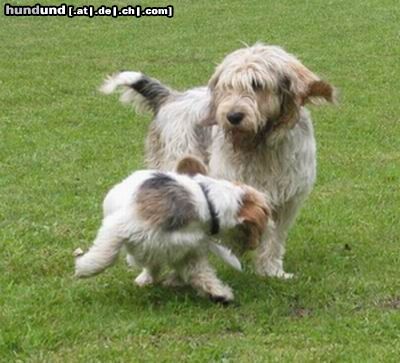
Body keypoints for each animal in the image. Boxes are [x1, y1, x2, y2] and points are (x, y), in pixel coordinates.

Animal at [74, 158, 268, 302]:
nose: (254, 246)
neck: (207, 205)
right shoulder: (121, 226)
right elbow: (107, 254)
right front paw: (85, 268)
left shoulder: (188, 253)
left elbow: (202, 274)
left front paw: (219, 293)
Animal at [101, 44, 336, 280]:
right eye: (228, 86)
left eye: (257, 85)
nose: (233, 116)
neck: (260, 145)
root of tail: (171, 97)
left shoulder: (288, 200)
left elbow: (274, 238)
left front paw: (271, 270)